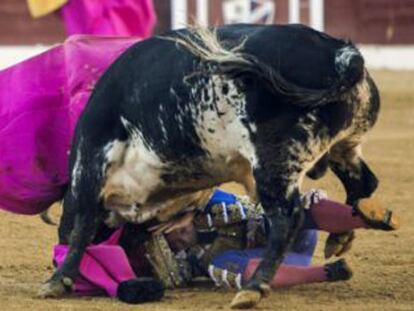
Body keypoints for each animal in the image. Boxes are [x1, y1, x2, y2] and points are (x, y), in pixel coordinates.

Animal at [40, 23, 380, 308]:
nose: (56, 252)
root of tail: (340, 54)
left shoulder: (90, 162)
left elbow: (82, 225)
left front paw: (59, 280)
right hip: (343, 147)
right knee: (364, 182)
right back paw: (349, 231)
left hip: (274, 161)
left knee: (288, 217)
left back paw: (253, 288)